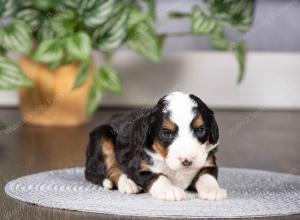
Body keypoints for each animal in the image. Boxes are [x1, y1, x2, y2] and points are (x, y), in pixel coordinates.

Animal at [83, 91, 226, 201]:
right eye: (166, 133)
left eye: (200, 130)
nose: (187, 160)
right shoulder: (138, 168)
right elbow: (158, 177)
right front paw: (170, 190)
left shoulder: (208, 162)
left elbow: (207, 175)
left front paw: (213, 190)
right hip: (103, 135)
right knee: (111, 168)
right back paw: (128, 184)